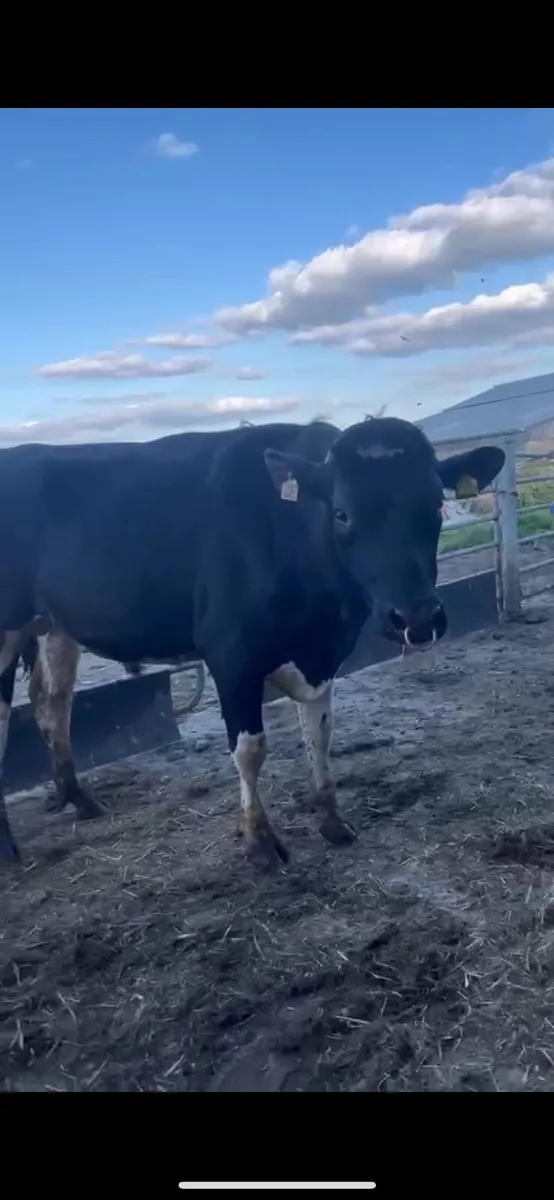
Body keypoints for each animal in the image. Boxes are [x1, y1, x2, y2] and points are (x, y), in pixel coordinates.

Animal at [0, 417, 504, 868]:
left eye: (435, 505)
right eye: (342, 513)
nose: (417, 618)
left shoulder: (321, 657)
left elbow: (319, 733)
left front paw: (333, 822)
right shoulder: (230, 654)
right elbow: (250, 749)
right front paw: (259, 842)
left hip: (55, 626)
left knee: (52, 706)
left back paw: (79, 798)